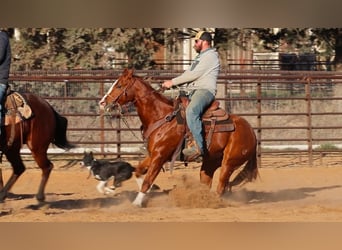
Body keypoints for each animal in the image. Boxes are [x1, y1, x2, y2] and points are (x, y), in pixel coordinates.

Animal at [100, 69, 258, 207]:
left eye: (119, 85)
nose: (102, 103)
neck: (161, 117)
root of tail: (251, 131)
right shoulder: (153, 154)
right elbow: (139, 171)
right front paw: (151, 191)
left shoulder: (160, 156)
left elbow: (147, 180)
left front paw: (137, 203)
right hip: (210, 162)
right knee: (207, 183)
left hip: (228, 163)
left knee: (221, 186)